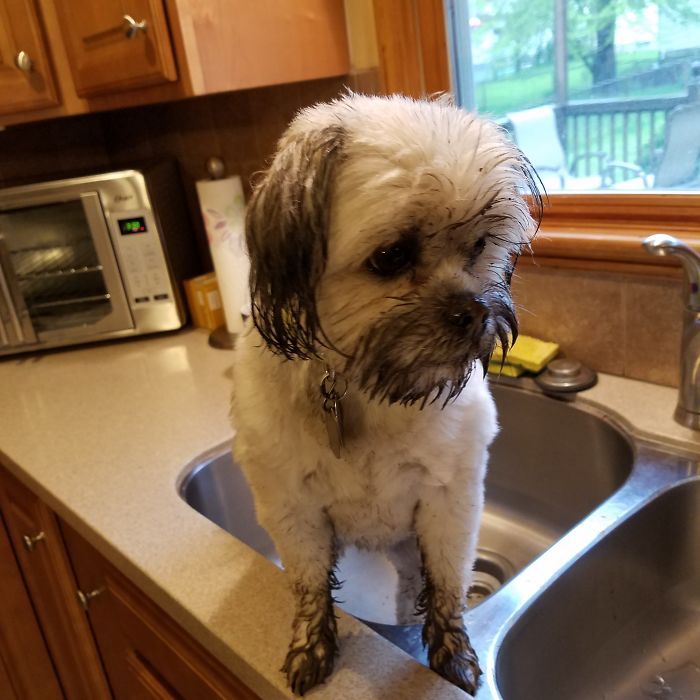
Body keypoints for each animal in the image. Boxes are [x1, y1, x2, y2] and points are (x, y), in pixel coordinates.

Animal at [231, 94, 540, 696]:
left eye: (479, 246)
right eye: (392, 255)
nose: (474, 311)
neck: (366, 386)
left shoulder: (449, 501)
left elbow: (446, 583)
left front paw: (452, 653)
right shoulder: (293, 511)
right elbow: (309, 587)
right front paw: (312, 647)